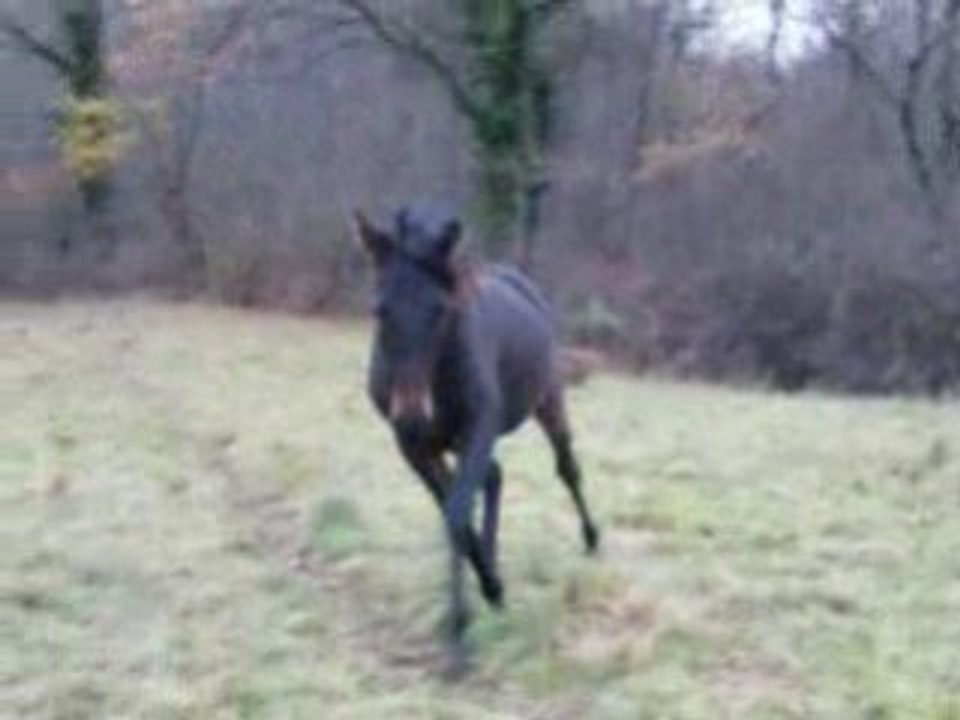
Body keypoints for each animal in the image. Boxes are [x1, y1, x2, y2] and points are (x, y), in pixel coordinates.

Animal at [355, 202, 600, 670]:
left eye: (440, 311)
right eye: (379, 309)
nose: (413, 413)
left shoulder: (477, 427)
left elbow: (455, 514)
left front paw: (458, 640)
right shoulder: (413, 446)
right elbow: (454, 513)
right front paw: (491, 587)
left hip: (547, 401)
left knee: (566, 467)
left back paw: (593, 538)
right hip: (453, 440)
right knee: (494, 475)